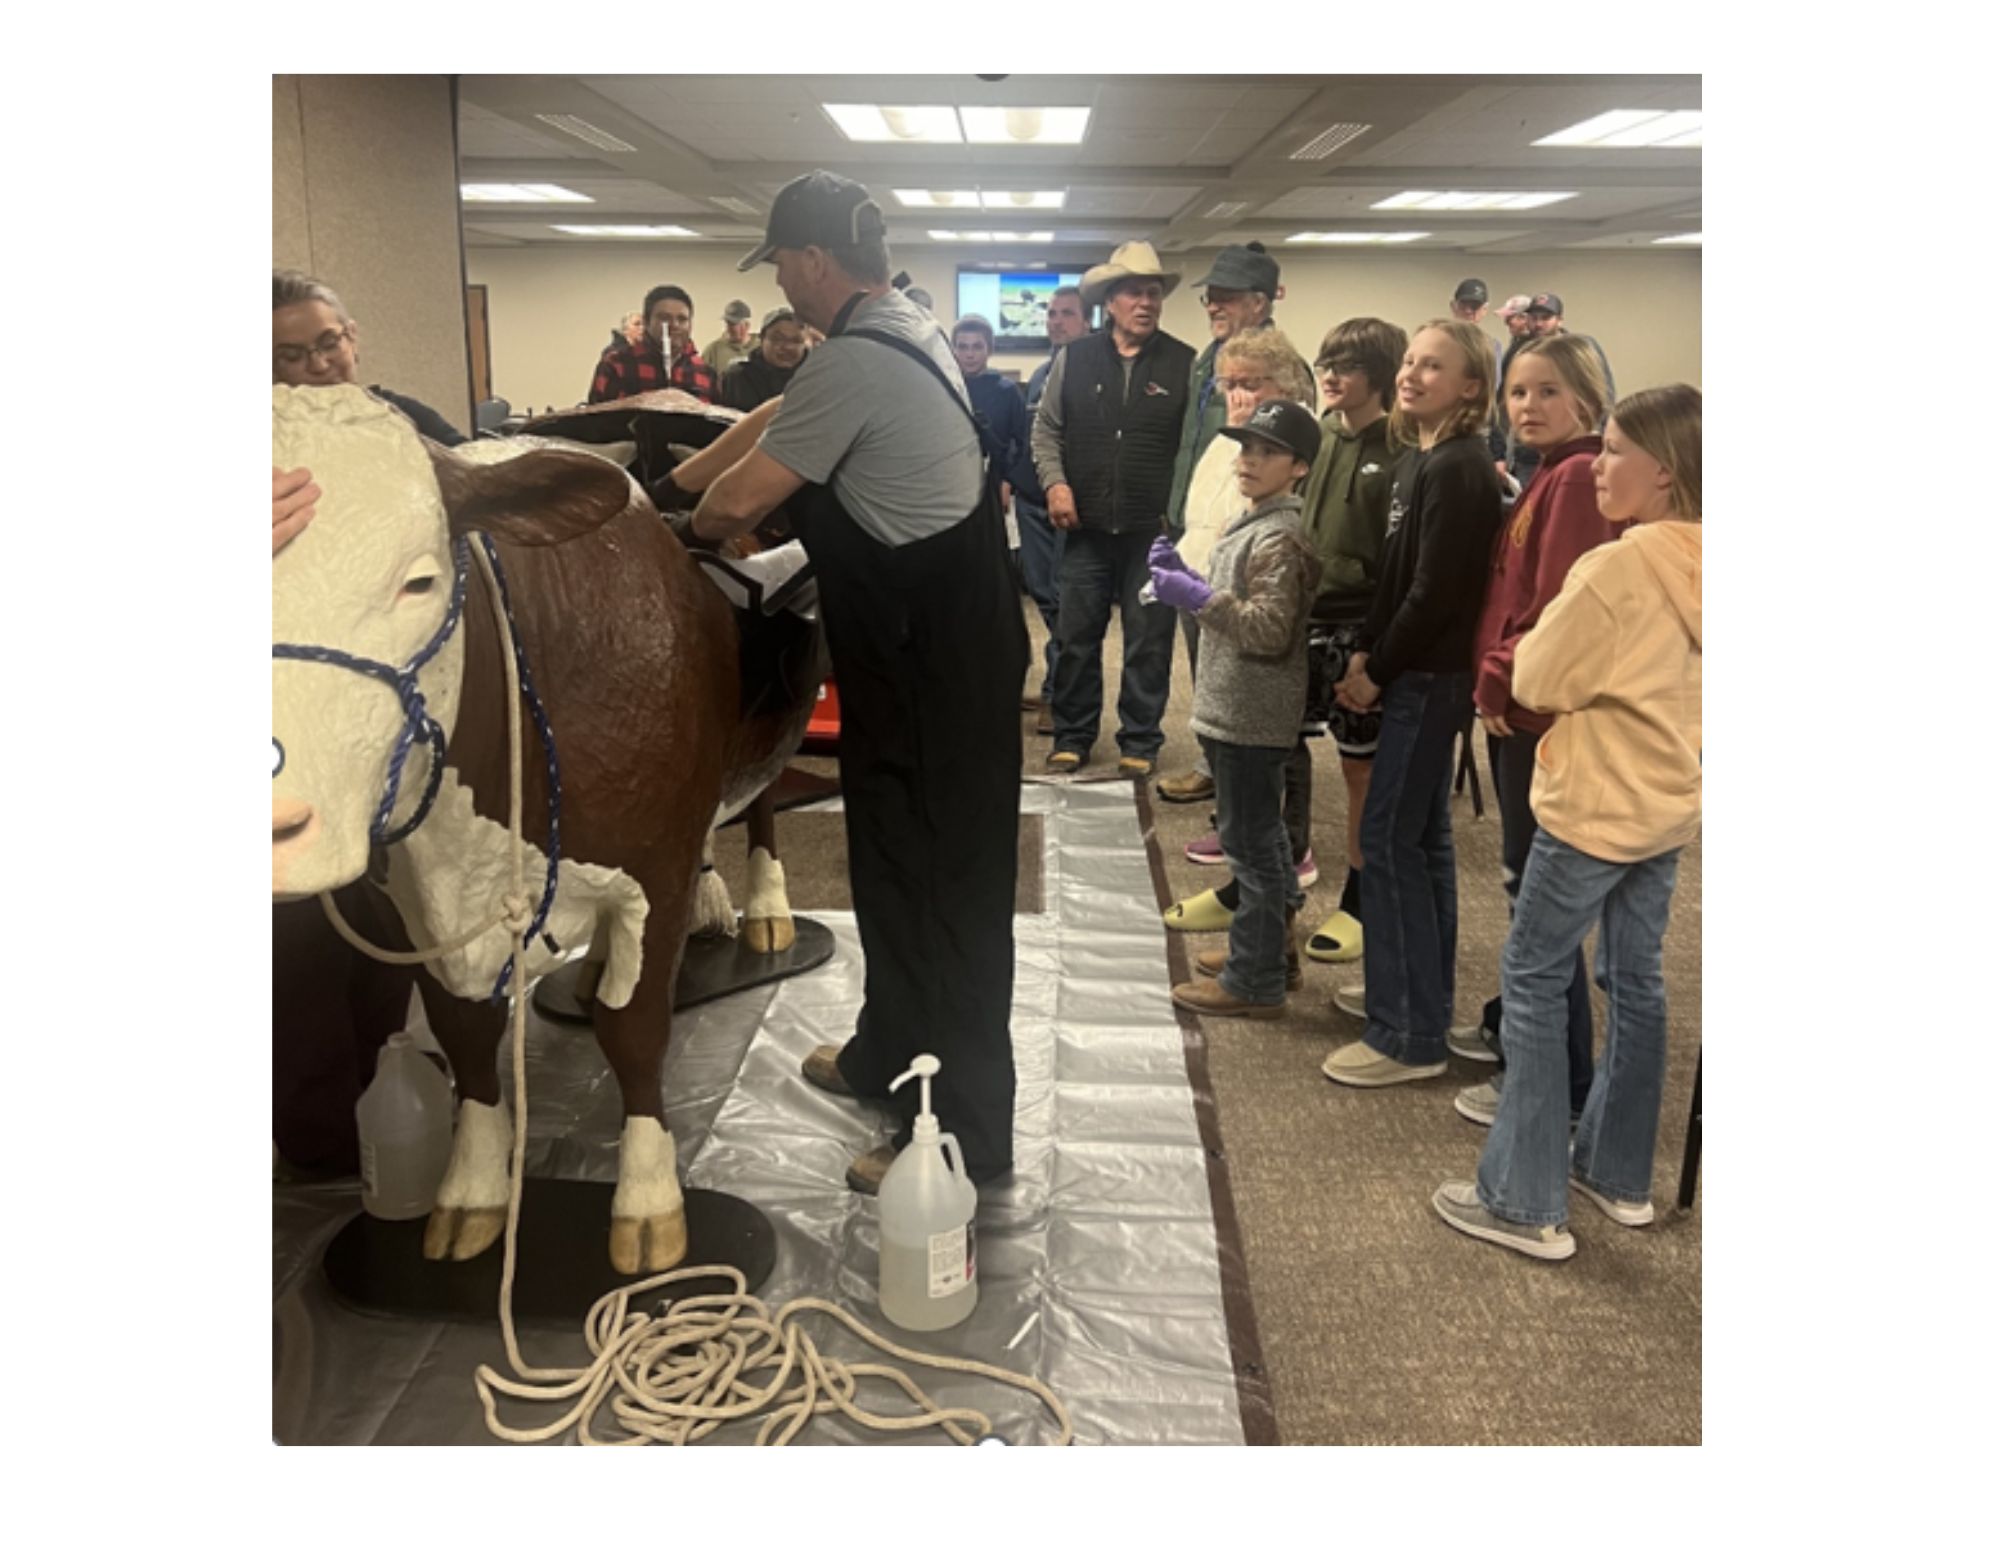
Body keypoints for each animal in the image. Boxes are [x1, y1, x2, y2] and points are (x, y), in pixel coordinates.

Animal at [274, 390, 820, 1280]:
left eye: (420, 579)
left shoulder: (653, 865)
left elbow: (635, 1030)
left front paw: (648, 1205)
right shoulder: (403, 906)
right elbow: (465, 1036)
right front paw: (472, 1194)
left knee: (764, 802)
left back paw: (765, 912)